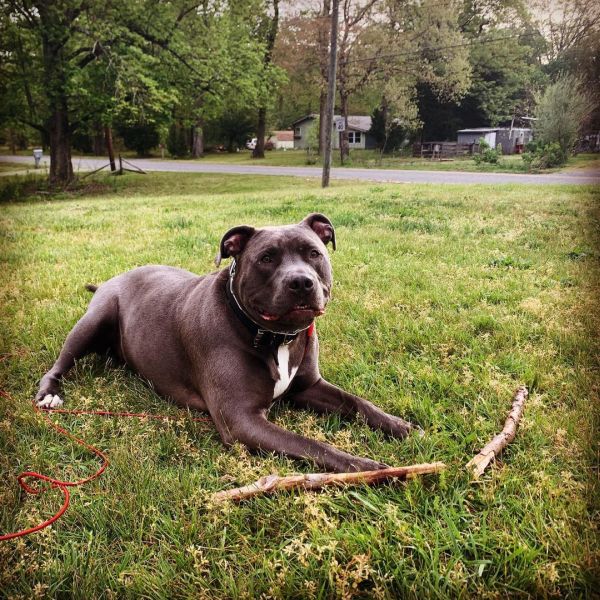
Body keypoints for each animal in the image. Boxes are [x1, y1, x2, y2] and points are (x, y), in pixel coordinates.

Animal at [35, 213, 414, 472]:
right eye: (266, 258)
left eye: (314, 253)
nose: (301, 282)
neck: (273, 336)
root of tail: (112, 279)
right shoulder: (240, 418)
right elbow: (311, 445)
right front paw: (367, 468)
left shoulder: (310, 386)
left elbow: (359, 403)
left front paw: (402, 426)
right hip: (93, 321)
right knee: (59, 364)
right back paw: (49, 394)